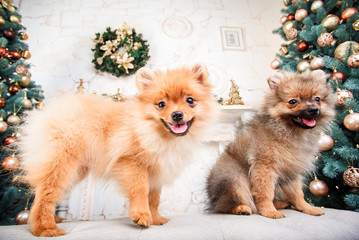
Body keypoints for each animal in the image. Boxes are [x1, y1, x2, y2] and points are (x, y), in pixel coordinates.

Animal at [19, 63, 217, 236]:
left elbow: (154, 199)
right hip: (62, 163)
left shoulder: (155, 172)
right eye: (161, 104)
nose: (177, 115)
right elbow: (140, 191)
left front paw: (156, 218)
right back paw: (45, 228)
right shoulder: (132, 163)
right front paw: (141, 216)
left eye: (190, 100)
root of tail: (50, 111)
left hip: (77, 170)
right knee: (45, 194)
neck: (156, 134)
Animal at [207, 70, 336, 218]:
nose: (314, 109)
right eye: (293, 101)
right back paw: (241, 208)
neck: (288, 131)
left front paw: (307, 208)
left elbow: (298, 193)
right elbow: (265, 192)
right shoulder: (264, 167)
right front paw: (269, 211)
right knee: (229, 202)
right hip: (234, 176)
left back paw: (281, 203)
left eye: (317, 99)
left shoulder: (292, 170)